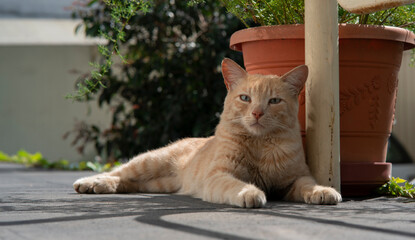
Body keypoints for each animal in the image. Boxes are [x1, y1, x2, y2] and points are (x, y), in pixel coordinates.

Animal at [74, 58, 342, 208]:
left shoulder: (296, 179)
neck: (260, 145)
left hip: (158, 184)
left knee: (131, 184)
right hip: (150, 161)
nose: (257, 113)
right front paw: (250, 192)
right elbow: (236, 185)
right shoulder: (219, 175)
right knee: (119, 172)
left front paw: (323, 192)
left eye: (274, 101)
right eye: (245, 98)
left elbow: (309, 185)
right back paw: (91, 183)